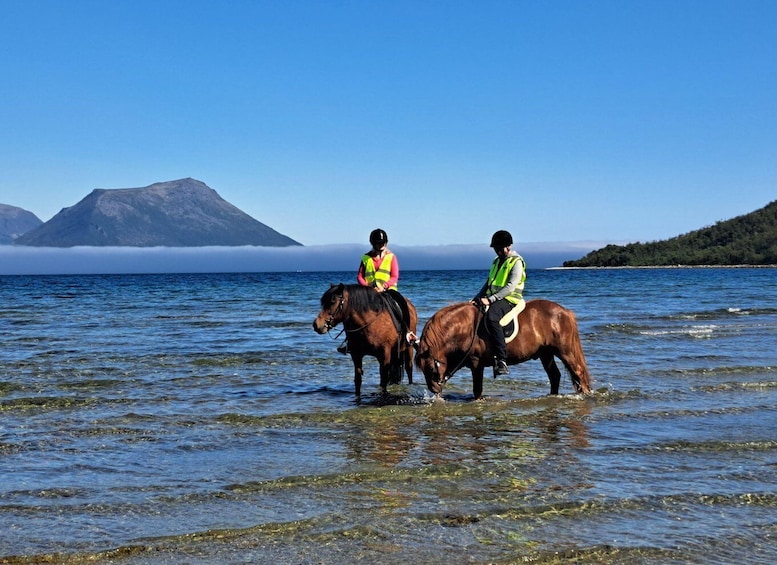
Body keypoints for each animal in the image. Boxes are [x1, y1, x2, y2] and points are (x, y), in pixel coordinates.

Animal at [416, 300, 592, 396]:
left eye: (430, 367)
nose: (434, 390)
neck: (465, 327)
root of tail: (565, 312)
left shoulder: (476, 363)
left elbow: (477, 390)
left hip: (565, 351)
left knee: (578, 372)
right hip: (546, 353)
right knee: (555, 376)